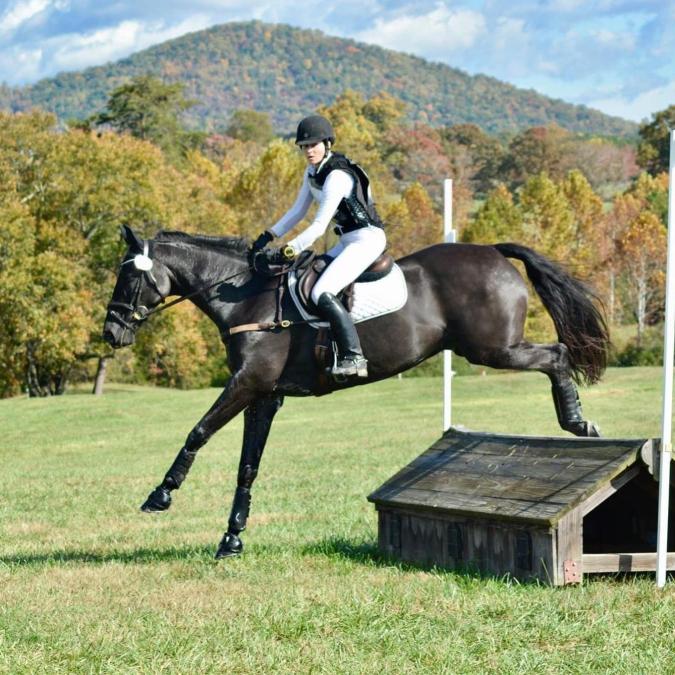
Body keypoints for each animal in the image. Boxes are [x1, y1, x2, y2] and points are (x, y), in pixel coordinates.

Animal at [102, 225, 609, 559]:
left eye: (129, 278)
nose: (111, 333)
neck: (245, 297)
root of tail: (492, 251)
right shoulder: (263, 395)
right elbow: (248, 466)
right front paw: (232, 538)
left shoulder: (247, 383)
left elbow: (198, 432)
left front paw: (161, 495)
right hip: (491, 348)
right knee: (556, 354)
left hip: (493, 349)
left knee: (557, 354)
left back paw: (579, 423)